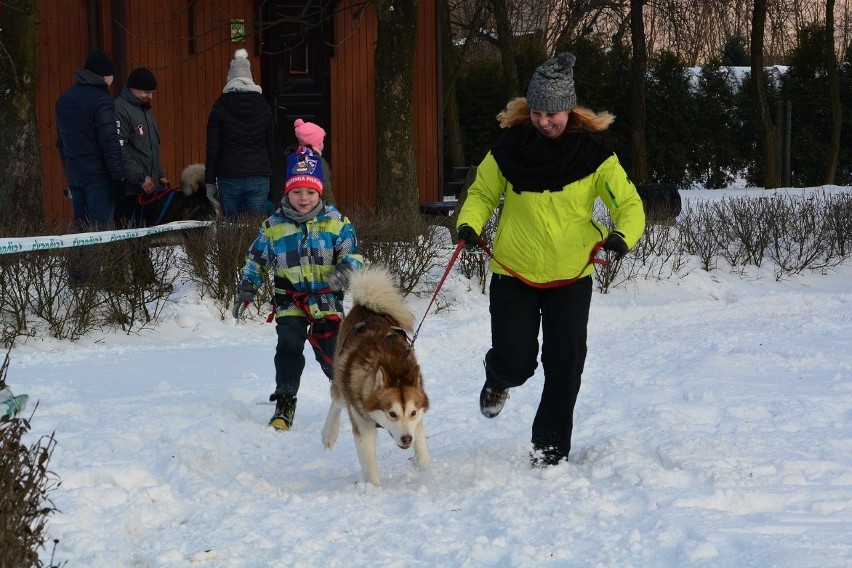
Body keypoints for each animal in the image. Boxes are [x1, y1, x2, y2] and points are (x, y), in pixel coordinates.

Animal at [324, 266, 432, 484]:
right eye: (392, 414)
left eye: (412, 413)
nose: (406, 439)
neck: (393, 368)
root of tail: (367, 306)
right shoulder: (362, 425)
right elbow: (370, 468)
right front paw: (373, 488)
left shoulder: (417, 419)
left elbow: (422, 448)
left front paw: (423, 466)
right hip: (342, 382)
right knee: (336, 399)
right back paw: (329, 432)